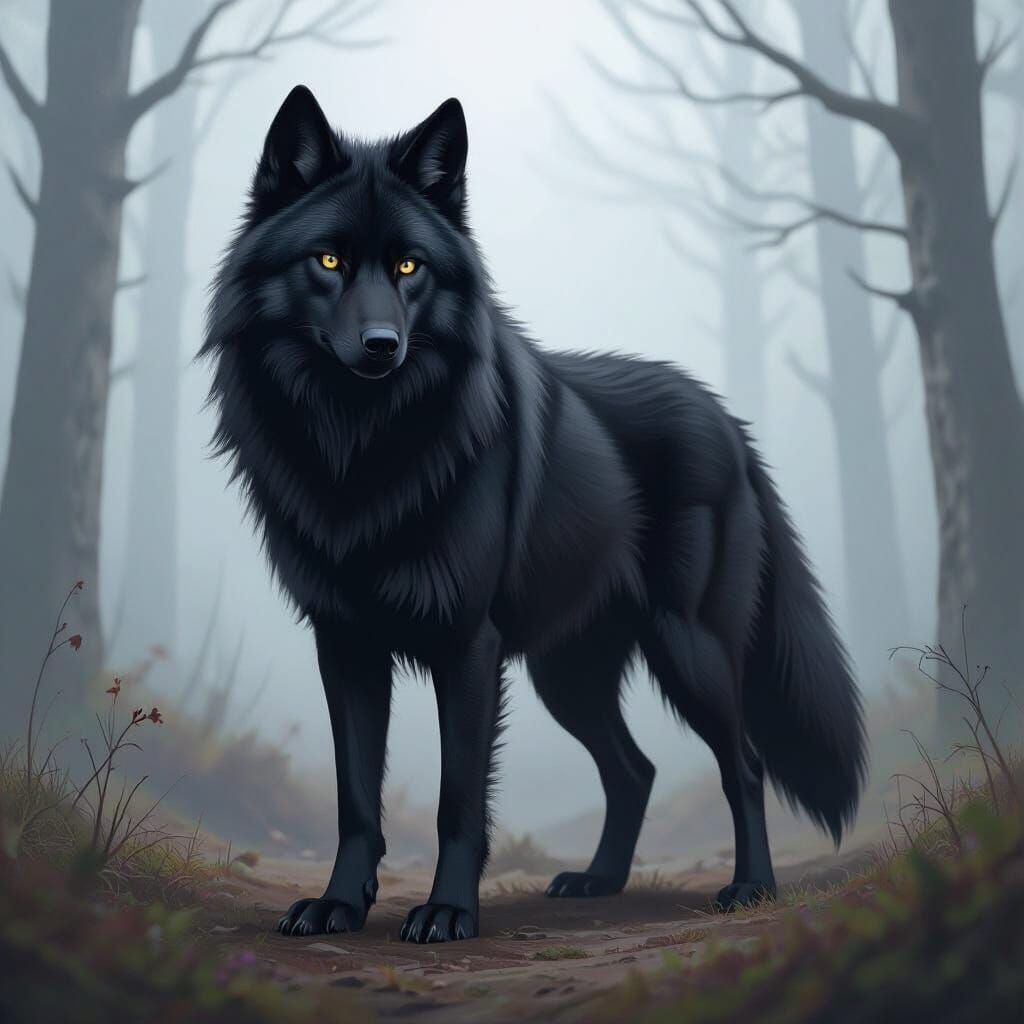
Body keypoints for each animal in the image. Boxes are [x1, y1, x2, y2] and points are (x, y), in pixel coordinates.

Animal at [201, 86, 867, 944]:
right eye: (328, 261)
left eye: (410, 267)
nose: (382, 345)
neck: (361, 445)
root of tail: (728, 419)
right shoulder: (345, 643)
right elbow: (356, 799)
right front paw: (338, 905)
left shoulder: (468, 647)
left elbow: (458, 800)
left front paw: (449, 911)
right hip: (567, 674)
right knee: (636, 769)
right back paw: (598, 881)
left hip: (689, 650)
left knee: (742, 764)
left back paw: (750, 887)